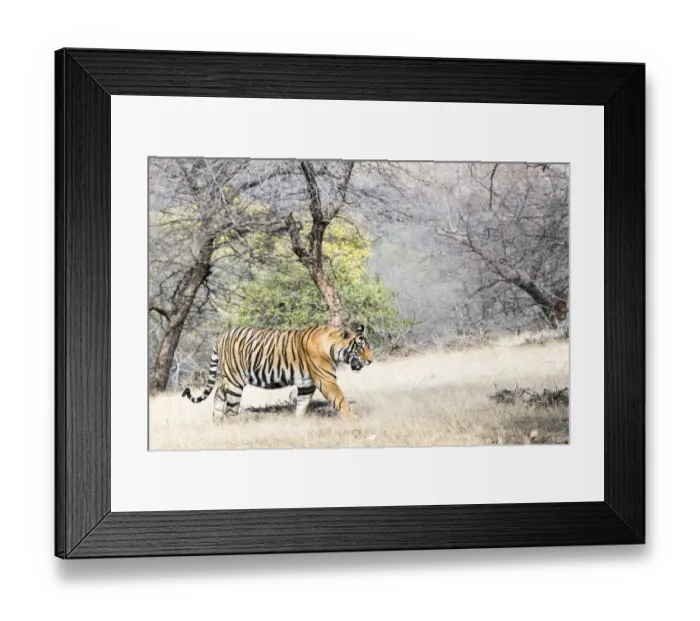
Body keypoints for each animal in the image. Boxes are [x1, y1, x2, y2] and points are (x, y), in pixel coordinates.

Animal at [181, 324, 372, 422]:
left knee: (219, 393)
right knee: (231, 409)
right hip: (235, 381)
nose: (370, 361)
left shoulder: (306, 384)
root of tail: (220, 336)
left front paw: (298, 423)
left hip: (230, 379)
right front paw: (354, 419)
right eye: (360, 347)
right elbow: (340, 400)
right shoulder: (326, 380)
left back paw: (216, 421)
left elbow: (302, 404)